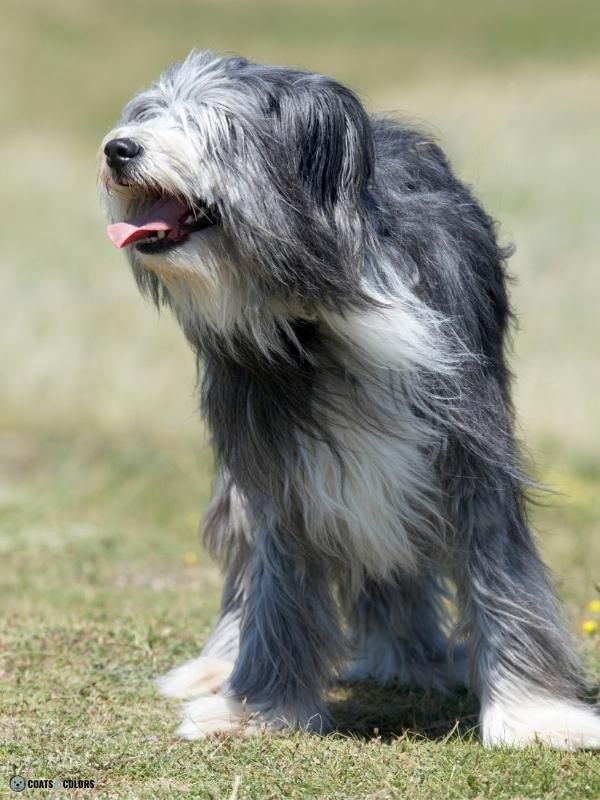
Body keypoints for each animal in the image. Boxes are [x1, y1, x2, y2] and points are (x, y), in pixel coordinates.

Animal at [98, 51, 600, 752]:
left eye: (217, 122)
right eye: (147, 113)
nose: (119, 149)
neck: (324, 303)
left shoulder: (467, 440)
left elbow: (499, 567)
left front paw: (535, 716)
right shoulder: (280, 462)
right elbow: (278, 583)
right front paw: (257, 709)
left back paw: (413, 659)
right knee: (249, 568)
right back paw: (222, 664)